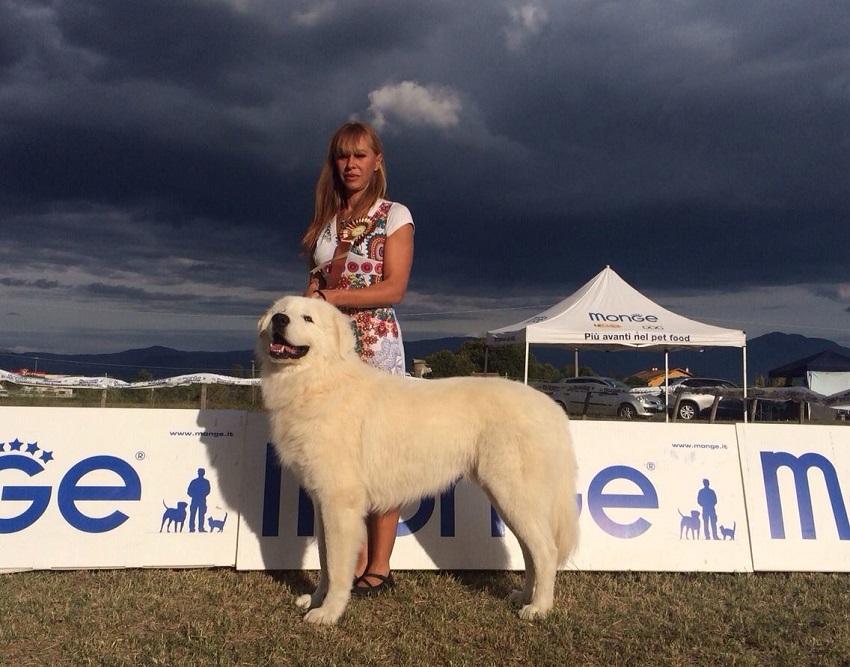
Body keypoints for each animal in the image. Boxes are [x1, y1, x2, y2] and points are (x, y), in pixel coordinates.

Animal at [258, 295, 578, 625]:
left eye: (307, 318)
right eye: (280, 312)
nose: (279, 320)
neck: (319, 381)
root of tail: (552, 408)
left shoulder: (340, 502)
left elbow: (335, 565)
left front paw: (328, 612)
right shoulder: (323, 502)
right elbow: (324, 560)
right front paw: (315, 599)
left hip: (514, 494)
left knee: (546, 550)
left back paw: (539, 607)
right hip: (507, 499)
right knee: (530, 551)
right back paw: (524, 596)